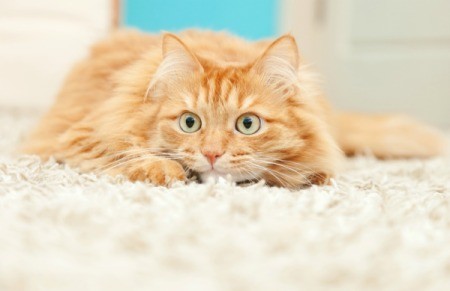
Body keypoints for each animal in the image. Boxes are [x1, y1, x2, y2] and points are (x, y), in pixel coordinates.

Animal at [22, 29, 448, 189]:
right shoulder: (80, 134)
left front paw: (307, 176)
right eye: (189, 122)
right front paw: (166, 172)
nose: (212, 154)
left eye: (247, 124)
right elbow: (129, 150)